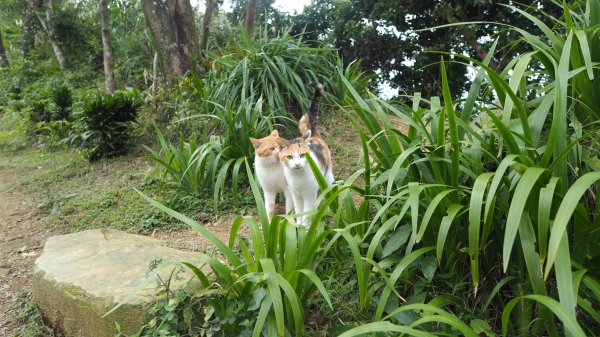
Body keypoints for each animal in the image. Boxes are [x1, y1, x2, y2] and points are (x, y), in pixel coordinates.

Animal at [280, 80, 336, 226]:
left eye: (302, 155)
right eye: (289, 157)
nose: (297, 164)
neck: (298, 178)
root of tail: (314, 136)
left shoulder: (309, 194)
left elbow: (307, 212)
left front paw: (306, 227)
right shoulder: (295, 194)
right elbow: (299, 211)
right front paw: (298, 225)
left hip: (327, 176)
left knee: (329, 190)